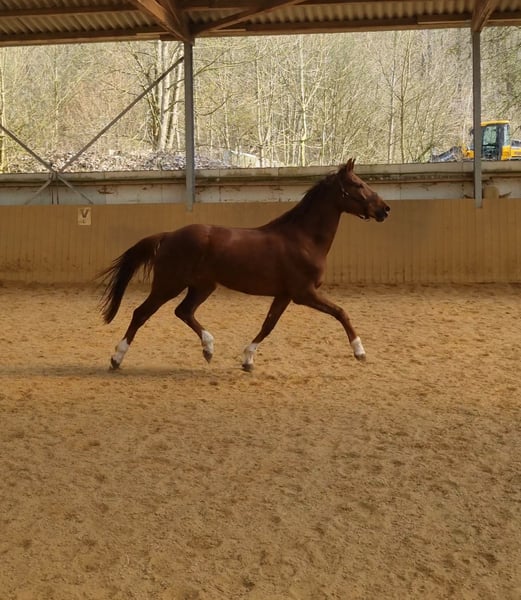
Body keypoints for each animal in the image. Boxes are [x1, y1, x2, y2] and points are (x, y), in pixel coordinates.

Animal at [98, 159, 390, 371]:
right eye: (358, 184)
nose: (385, 209)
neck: (303, 239)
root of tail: (168, 235)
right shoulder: (304, 293)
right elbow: (341, 313)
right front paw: (360, 351)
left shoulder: (285, 295)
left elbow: (268, 325)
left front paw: (248, 359)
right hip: (168, 285)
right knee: (141, 313)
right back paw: (116, 358)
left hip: (202, 287)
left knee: (183, 311)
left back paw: (208, 349)